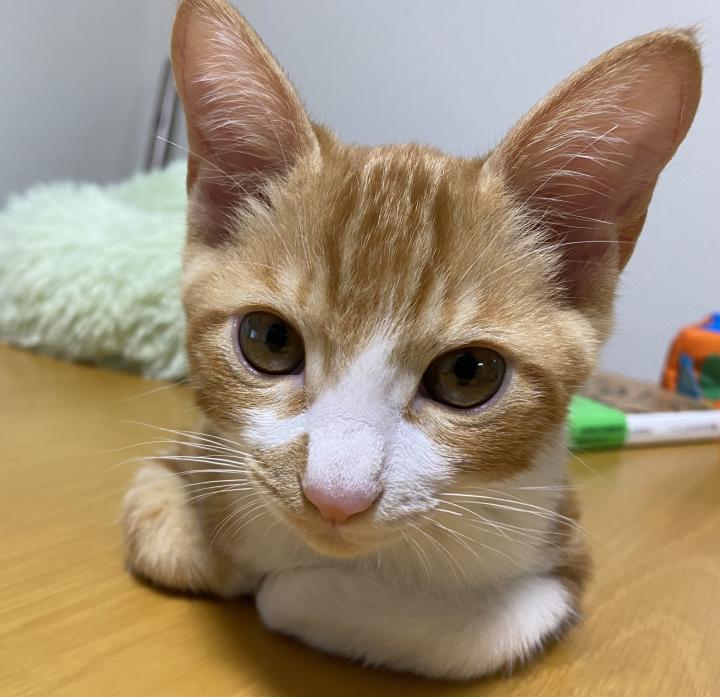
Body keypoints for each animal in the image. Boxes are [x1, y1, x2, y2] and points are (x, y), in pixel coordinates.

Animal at [122, 0, 701, 680]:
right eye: (269, 340)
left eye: (469, 373)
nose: (335, 497)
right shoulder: (197, 448)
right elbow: (160, 524)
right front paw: (226, 545)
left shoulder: (564, 555)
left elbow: (488, 628)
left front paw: (293, 590)